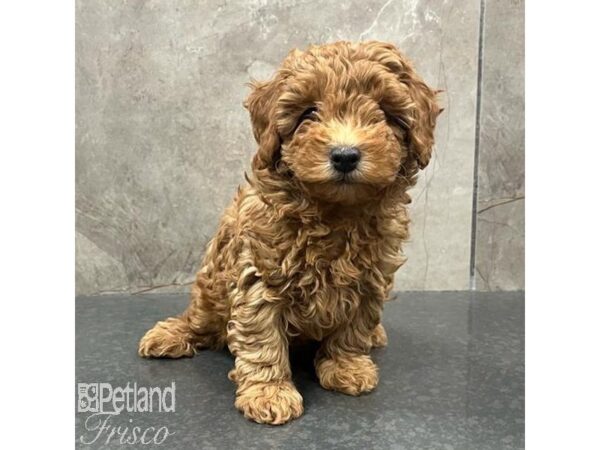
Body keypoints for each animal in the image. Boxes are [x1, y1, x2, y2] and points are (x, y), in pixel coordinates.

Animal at [139, 41, 440, 426]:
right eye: (309, 111)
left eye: (386, 113)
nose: (345, 155)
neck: (334, 212)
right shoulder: (258, 275)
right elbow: (262, 339)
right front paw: (269, 392)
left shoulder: (370, 279)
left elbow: (353, 327)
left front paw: (347, 366)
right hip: (210, 290)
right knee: (200, 320)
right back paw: (170, 334)